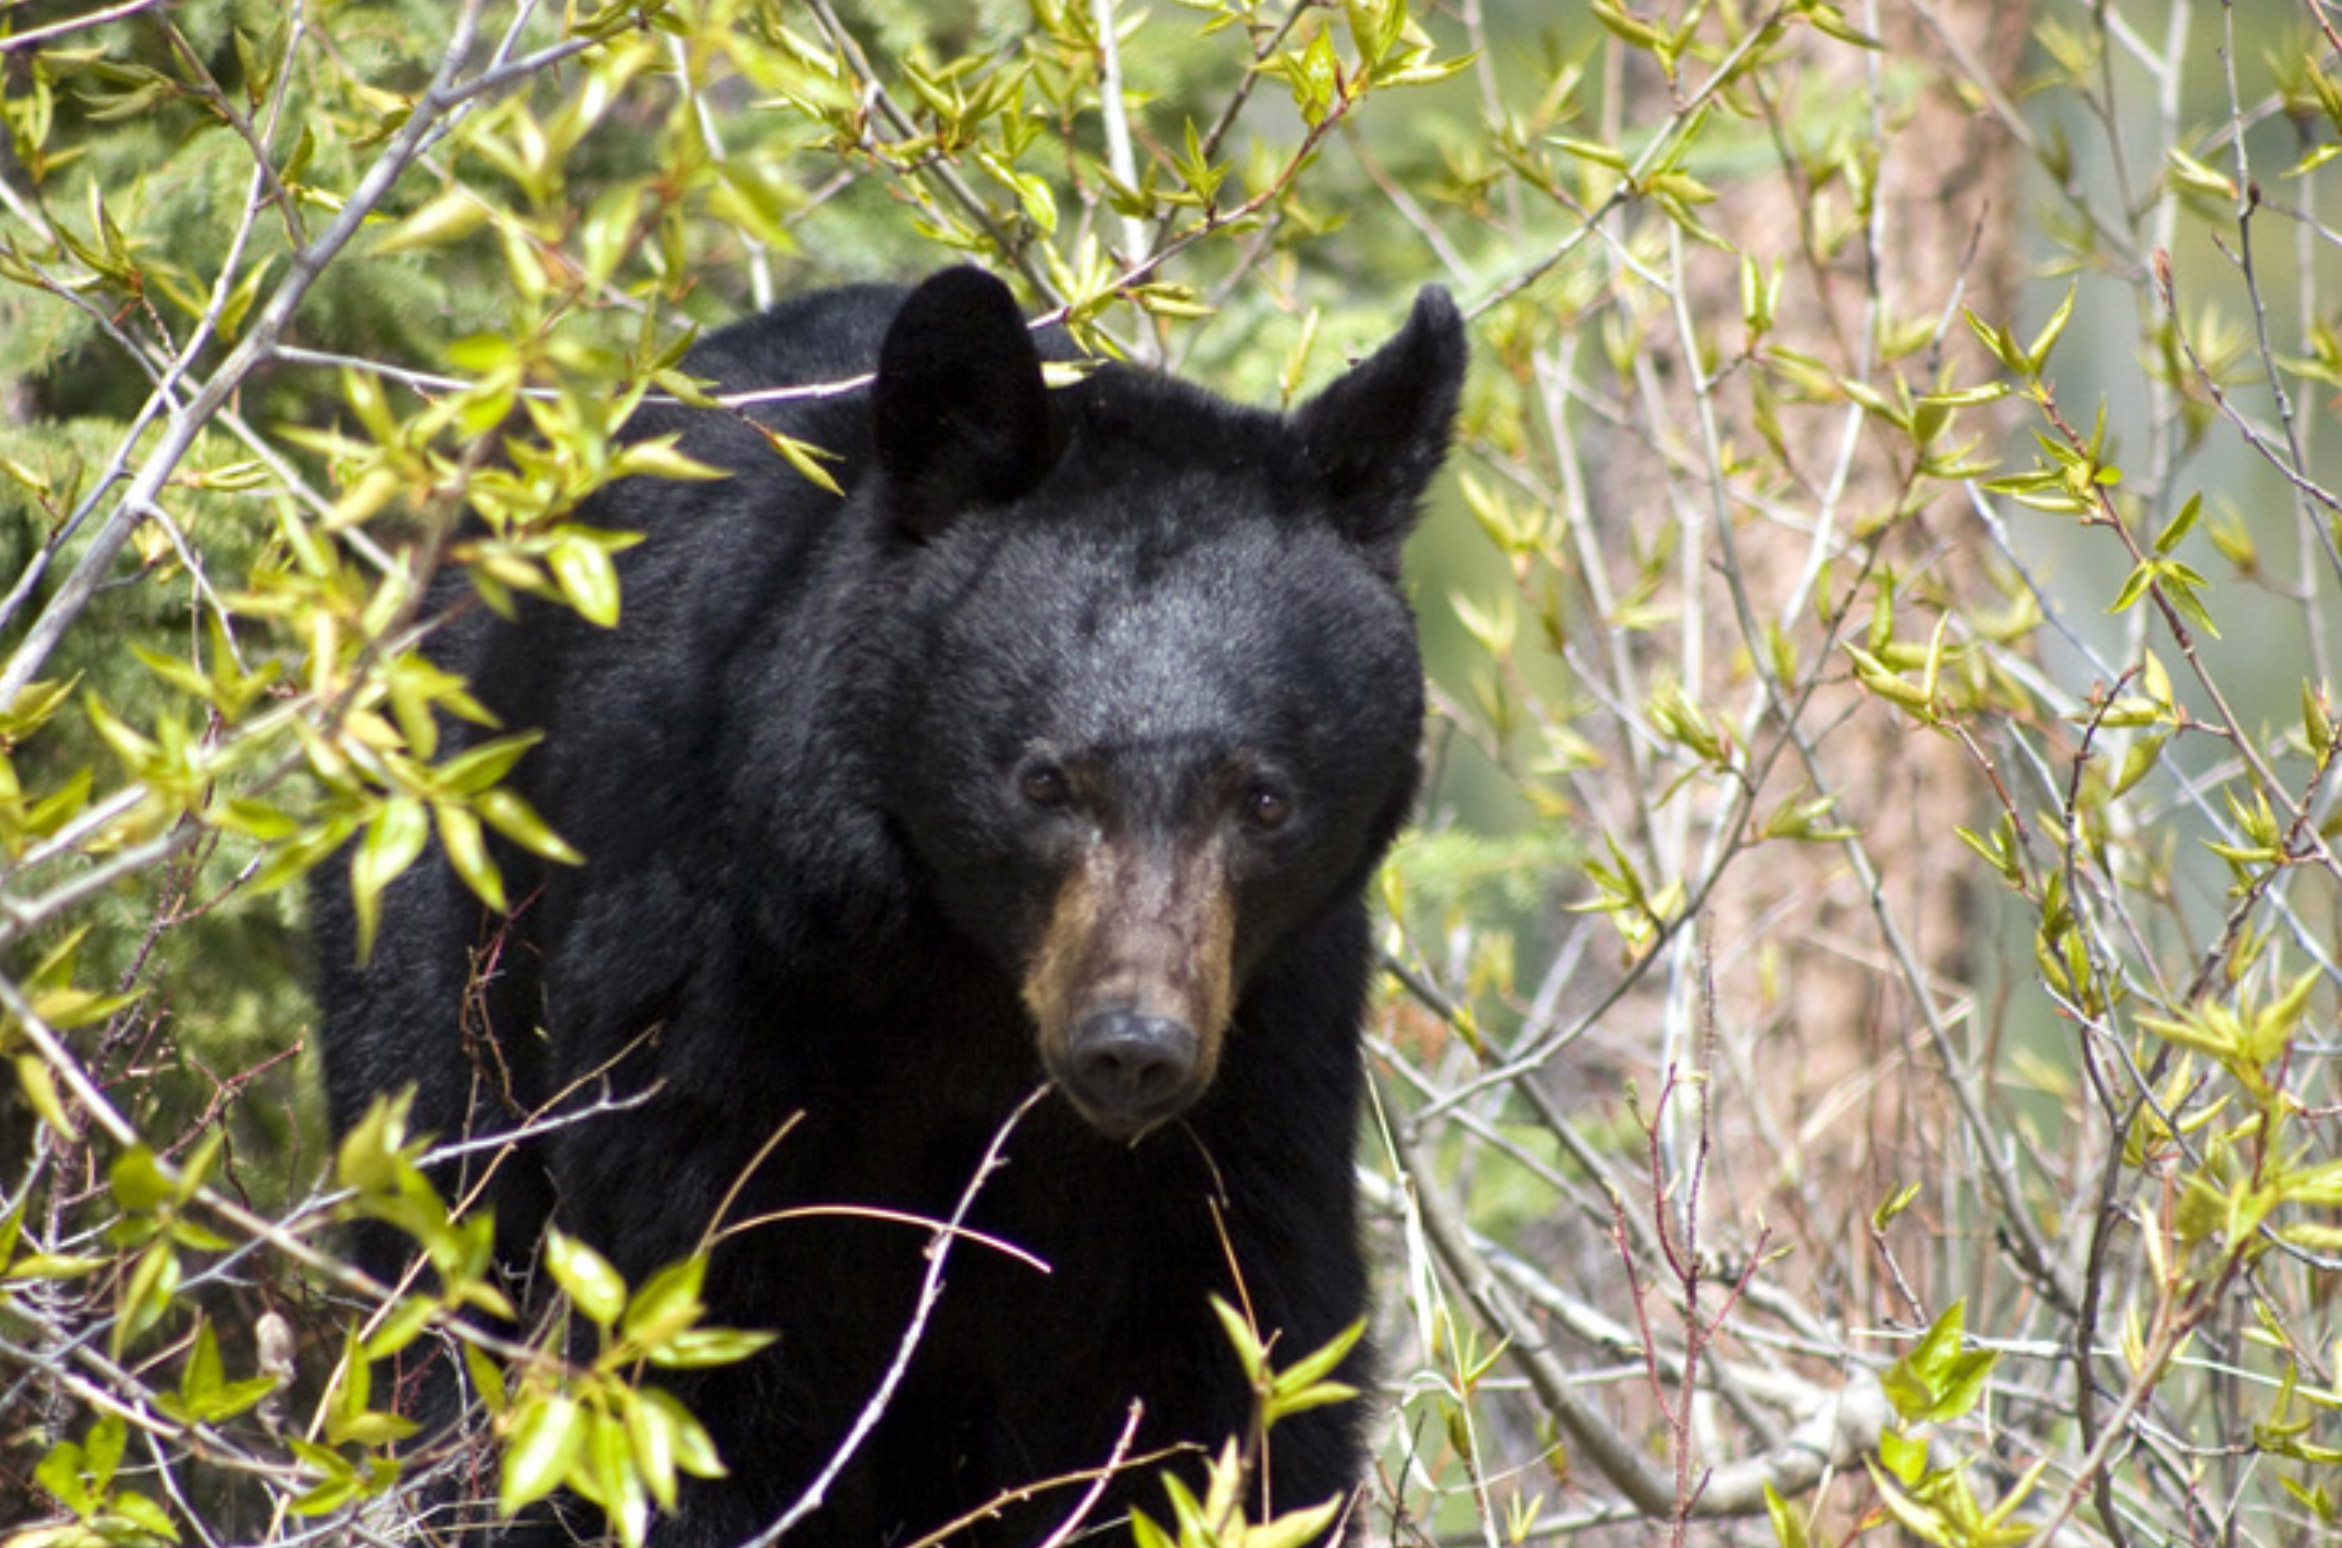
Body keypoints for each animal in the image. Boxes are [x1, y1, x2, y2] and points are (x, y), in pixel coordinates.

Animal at [316, 268, 1461, 1545]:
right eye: (1044, 781)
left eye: (1262, 798)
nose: (1132, 1048)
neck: (962, 981)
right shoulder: (718, 983)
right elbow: (692, 1331)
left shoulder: (1263, 1063)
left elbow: (1236, 1368)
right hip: (439, 896)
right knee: (445, 1232)